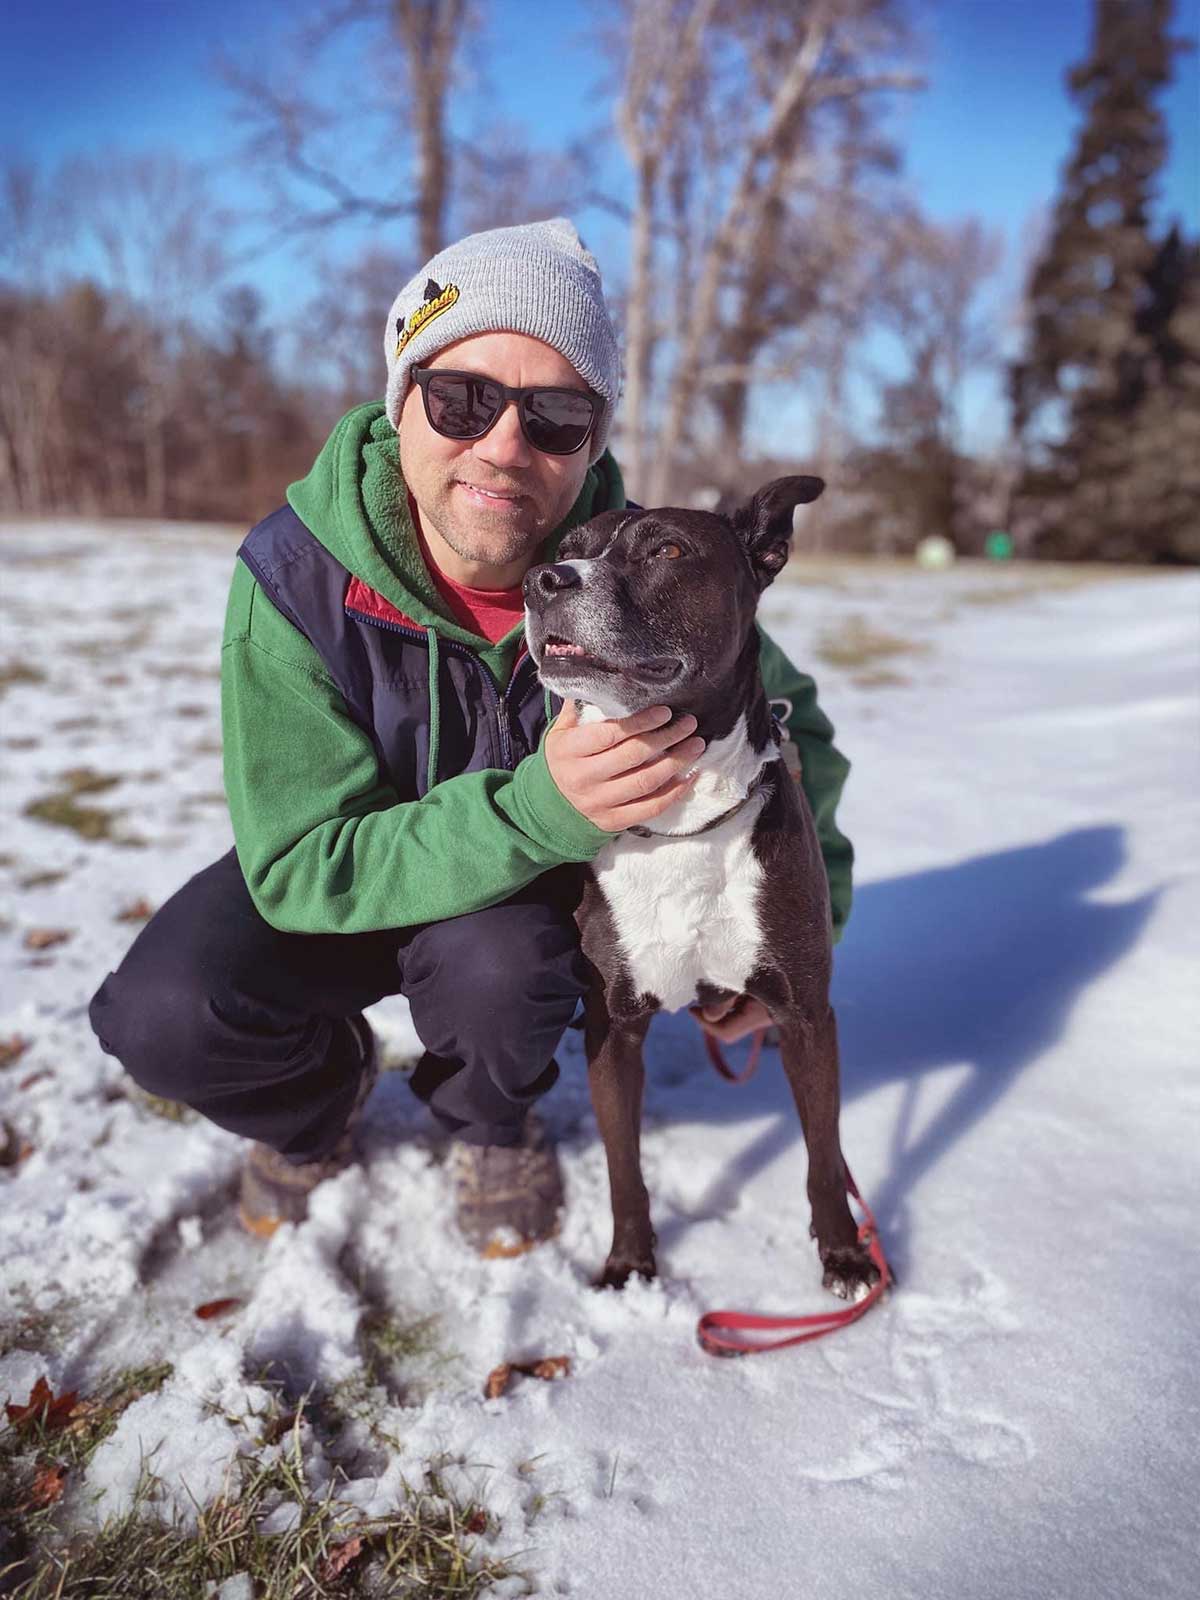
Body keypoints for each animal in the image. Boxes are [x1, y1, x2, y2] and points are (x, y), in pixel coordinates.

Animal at [524, 473, 883, 1299]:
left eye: (667, 550)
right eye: (568, 549)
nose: (543, 581)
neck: (678, 823)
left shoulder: (807, 1019)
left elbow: (823, 1155)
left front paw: (844, 1254)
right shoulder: (611, 1028)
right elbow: (624, 1166)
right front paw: (629, 1263)